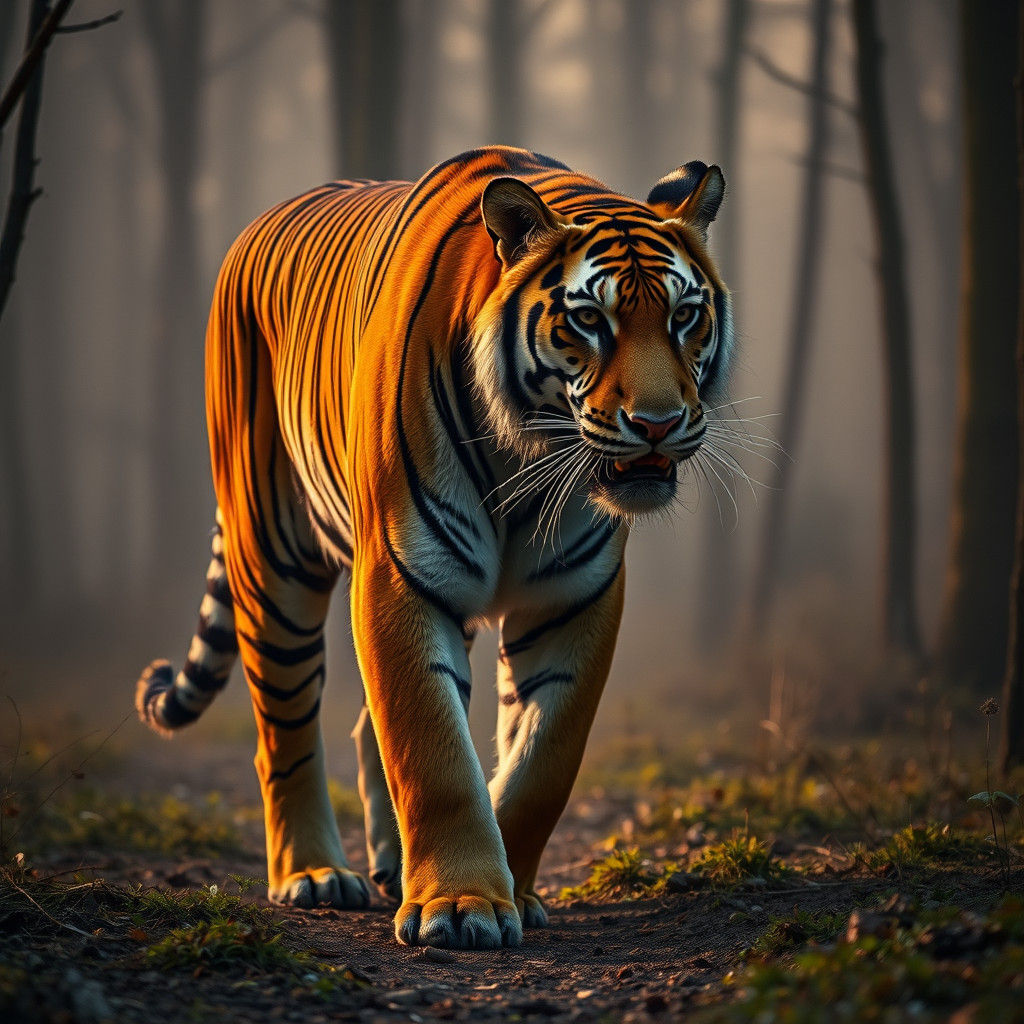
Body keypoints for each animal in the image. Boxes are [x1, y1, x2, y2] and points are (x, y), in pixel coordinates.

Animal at [135, 146, 733, 950]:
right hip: (275, 558)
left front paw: (513, 887)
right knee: (284, 728)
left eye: (684, 315)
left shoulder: (574, 599)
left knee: (364, 724)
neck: (529, 463)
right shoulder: (401, 577)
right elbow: (433, 750)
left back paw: (391, 868)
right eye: (589, 320)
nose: (659, 424)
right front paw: (461, 903)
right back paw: (313, 875)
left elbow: (543, 760)